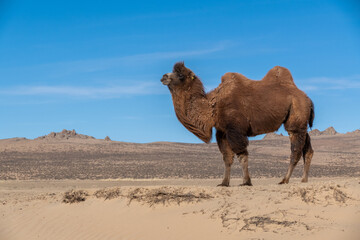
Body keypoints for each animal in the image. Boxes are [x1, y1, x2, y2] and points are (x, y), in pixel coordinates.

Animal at [161, 62, 316, 186]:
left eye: (181, 75)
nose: (163, 77)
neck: (213, 107)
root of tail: (307, 98)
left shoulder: (235, 130)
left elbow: (242, 155)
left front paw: (246, 182)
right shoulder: (222, 132)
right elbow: (227, 158)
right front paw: (224, 183)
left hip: (296, 117)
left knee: (295, 150)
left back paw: (284, 180)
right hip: (301, 123)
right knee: (307, 149)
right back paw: (304, 179)